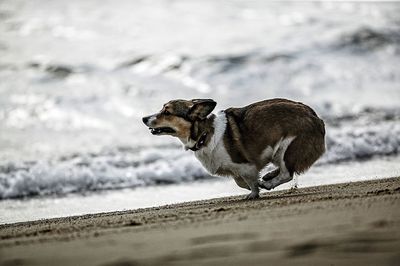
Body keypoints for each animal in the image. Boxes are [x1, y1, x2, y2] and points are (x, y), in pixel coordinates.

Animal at [142, 99, 326, 200]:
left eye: (167, 112)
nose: (143, 118)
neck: (204, 133)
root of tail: (315, 117)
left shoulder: (245, 166)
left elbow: (250, 181)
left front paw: (254, 192)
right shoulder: (238, 170)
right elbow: (240, 182)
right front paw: (256, 186)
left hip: (286, 148)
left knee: (287, 172)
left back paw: (268, 183)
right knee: (285, 170)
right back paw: (268, 176)